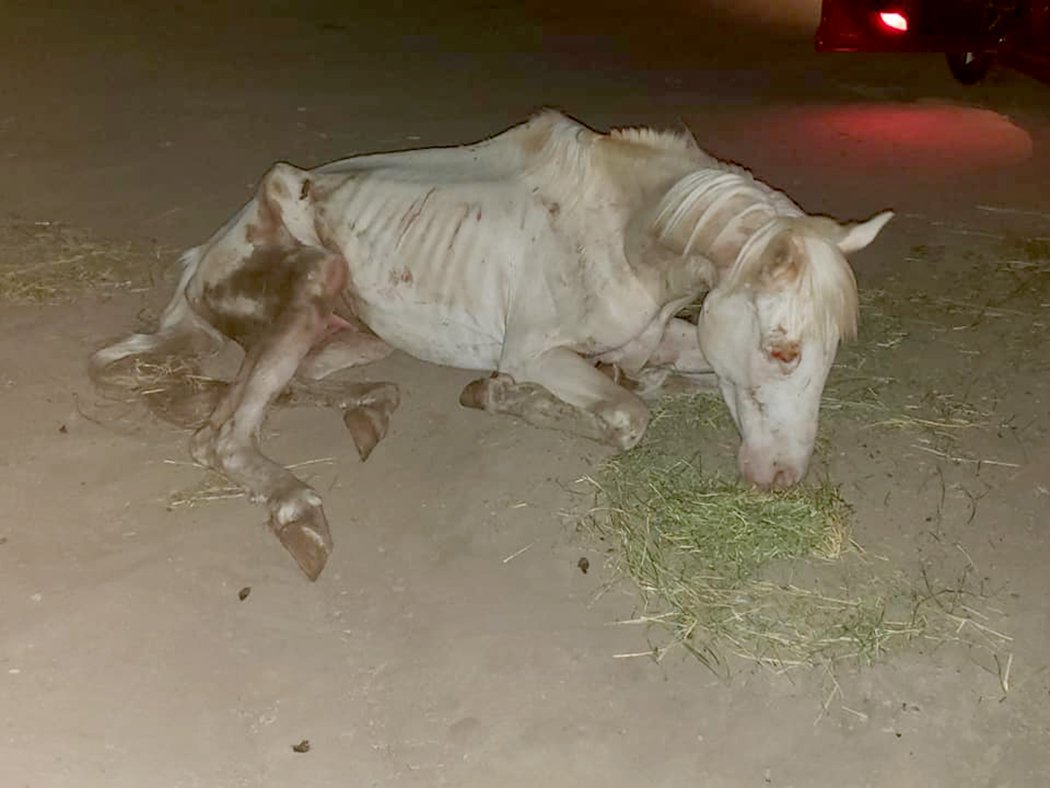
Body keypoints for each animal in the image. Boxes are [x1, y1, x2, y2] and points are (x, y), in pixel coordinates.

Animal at [91, 110, 892, 579]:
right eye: (784, 349)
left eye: (830, 353)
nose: (781, 481)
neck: (627, 233)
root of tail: (204, 256)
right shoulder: (539, 353)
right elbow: (627, 416)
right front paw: (500, 394)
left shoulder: (659, 337)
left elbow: (655, 380)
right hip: (314, 282)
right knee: (221, 438)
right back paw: (298, 510)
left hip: (354, 336)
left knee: (273, 391)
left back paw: (368, 408)